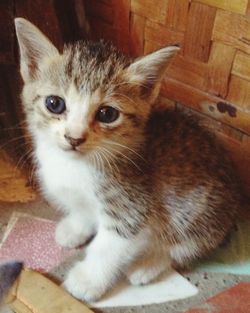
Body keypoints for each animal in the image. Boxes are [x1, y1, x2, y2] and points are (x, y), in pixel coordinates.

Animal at [15, 18, 242, 302]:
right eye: (54, 103)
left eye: (107, 114)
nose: (74, 137)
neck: (77, 166)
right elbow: (83, 210)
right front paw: (76, 228)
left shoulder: (133, 206)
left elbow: (109, 247)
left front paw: (87, 280)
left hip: (196, 212)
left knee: (183, 247)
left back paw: (148, 265)